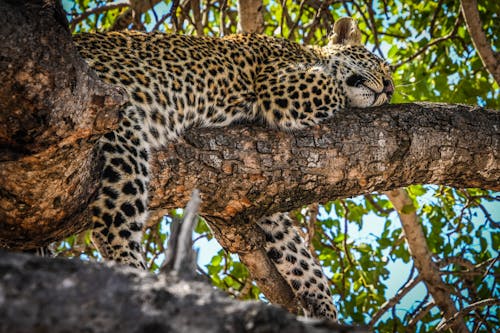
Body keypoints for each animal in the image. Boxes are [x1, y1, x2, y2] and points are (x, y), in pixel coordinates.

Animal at [74, 16, 394, 320]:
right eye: (380, 65)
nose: (390, 90)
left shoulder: (254, 194)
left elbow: (292, 245)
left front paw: (322, 302)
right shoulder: (281, 83)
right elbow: (335, 85)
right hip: (121, 123)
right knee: (112, 225)